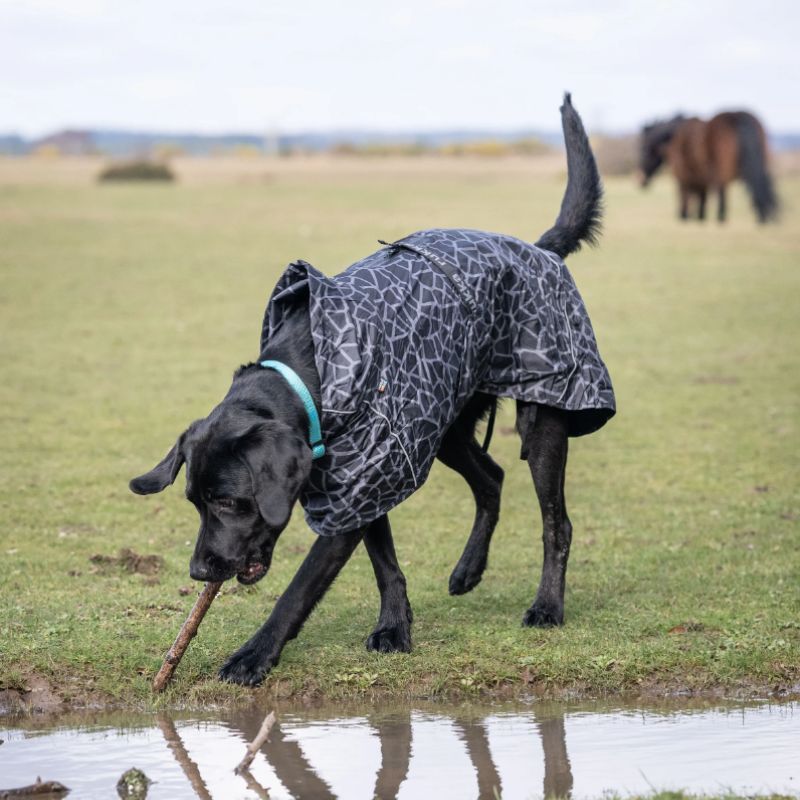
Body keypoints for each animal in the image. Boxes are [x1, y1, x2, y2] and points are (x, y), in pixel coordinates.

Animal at [131, 94, 612, 684]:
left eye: (227, 500)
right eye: (194, 501)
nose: (200, 572)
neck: (308, 378)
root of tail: (540, 250)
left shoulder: (361, 484)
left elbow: (298, 590)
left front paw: (253, 655)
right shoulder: (371, 476)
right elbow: (386, 565)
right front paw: (394, 628)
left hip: (544, 413)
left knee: (555, 523)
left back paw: (547, 606)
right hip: (440, 425)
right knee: (492, 478)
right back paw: (468, 570)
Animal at [640, 109, 780, 222]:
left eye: (644, 148)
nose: (641, 181)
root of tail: (737, 116)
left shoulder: (684, 179)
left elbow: (686, 201)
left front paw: (685, 217)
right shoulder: (701, 181)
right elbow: (701, 205)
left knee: (724, 196)